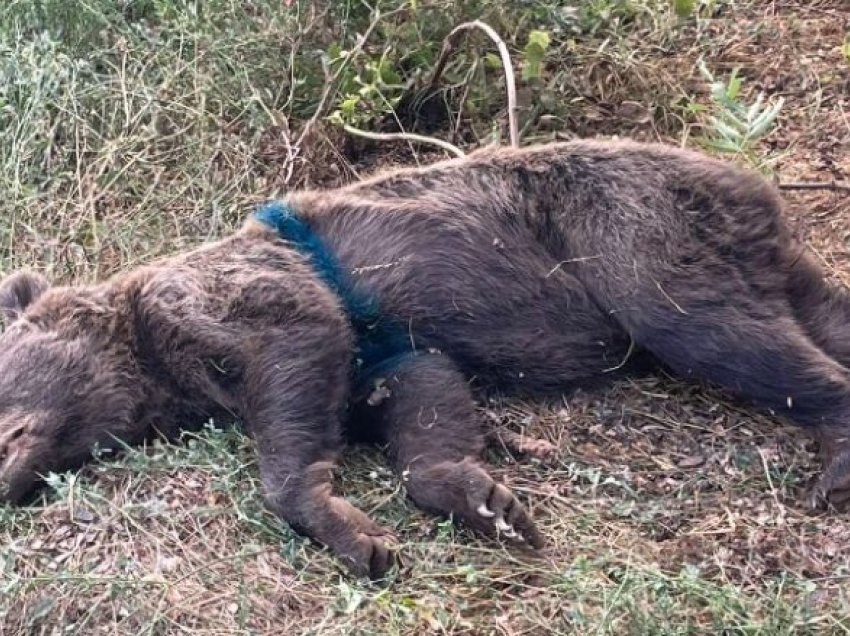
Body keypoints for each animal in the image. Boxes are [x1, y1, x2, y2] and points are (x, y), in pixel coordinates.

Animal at [1, 139, 848, 580]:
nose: (7, 482)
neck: (149, 355)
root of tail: (755, 186)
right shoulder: (385, 353)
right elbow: (422, 402)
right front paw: (488, 501)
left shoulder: (249, 305)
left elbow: (296, 357)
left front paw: (354, 534)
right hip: (754, 259)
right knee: (819, 313)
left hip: (630, 231)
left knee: (713, 330)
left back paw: (833, 461)